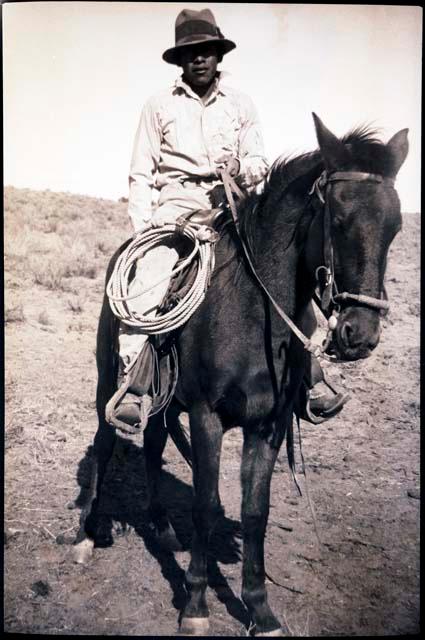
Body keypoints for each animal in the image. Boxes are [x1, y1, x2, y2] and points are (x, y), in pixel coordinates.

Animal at [73, 115, 408, 636]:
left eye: (395, 226)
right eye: (337, 219)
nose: (360, 334)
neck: (251, 311)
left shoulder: (268, 424)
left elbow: (255, 511)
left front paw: (260, 608)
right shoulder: (207, 417)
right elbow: (205, 505)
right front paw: (195, 605)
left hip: (163, 400)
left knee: (152, 443)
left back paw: (162, 527)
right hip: (108, 382)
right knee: (107, 444)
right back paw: (88, 535)